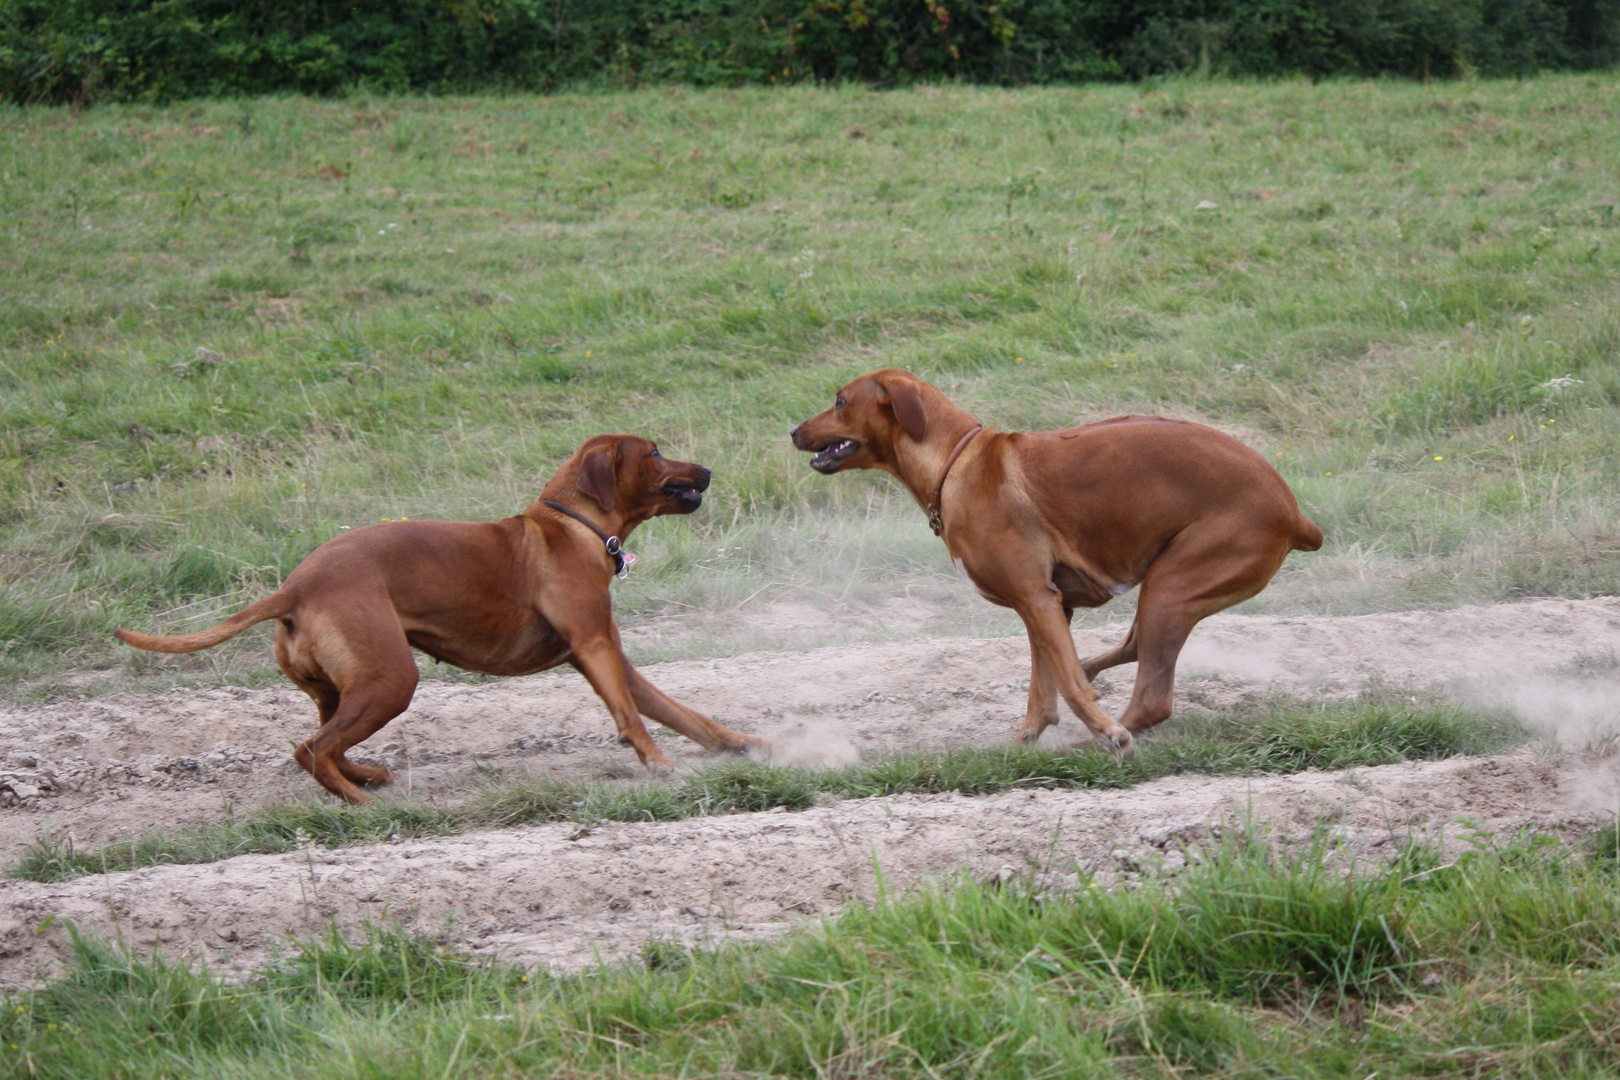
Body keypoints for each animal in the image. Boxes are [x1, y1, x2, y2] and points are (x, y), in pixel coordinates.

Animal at [119, 433, 764, 803]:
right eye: (654, 452)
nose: (707, 470)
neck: (573, 524)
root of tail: (294, 588)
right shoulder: (594, 649)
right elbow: (632, 716)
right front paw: (657, 763)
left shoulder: (612, 658)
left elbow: (685, 713)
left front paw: (739, 742)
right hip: (391, 680)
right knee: (312, 750)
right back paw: (361, 805)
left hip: (342, 687)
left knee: (326, 743)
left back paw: (365, 777)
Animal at [790, 372, 1321, 751]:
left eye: (840, 401)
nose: (793, 430)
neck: (954, 463)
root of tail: (1294, 513)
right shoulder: (1047, 607)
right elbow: (1042, 688)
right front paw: (1024, 742)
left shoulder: (1037, 599)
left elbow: (1061, 683)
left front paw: (1102, 730)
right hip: (1167, 589)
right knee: (1130, 649)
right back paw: (1094, 684)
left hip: (1173, 587)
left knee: (1152, 700)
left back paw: (1101, 740)